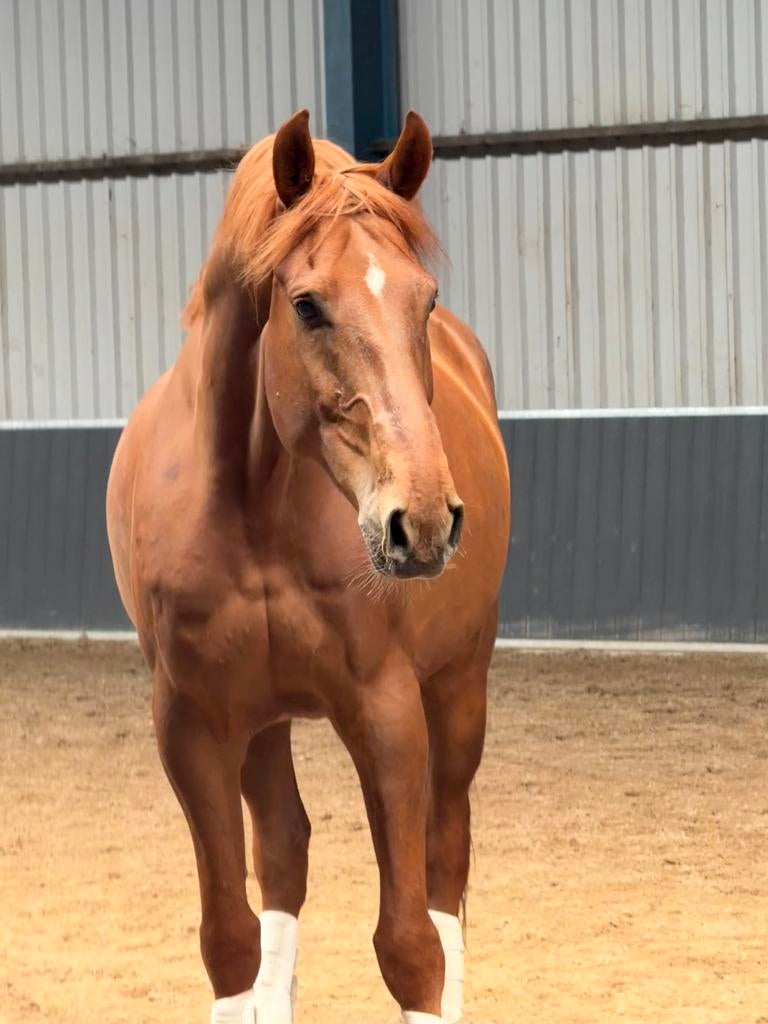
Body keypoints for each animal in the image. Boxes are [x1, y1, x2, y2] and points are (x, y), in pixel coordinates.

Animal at [106, 109, 510, 1024]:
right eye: (307, 305)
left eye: (425, 300)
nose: (421, 520)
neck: (256, 508)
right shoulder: (193, 723)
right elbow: (232, 939)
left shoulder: (386, 710)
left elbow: (410, 947)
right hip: (261, 720)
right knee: (285, 852)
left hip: (459, 684)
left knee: (448, 863)